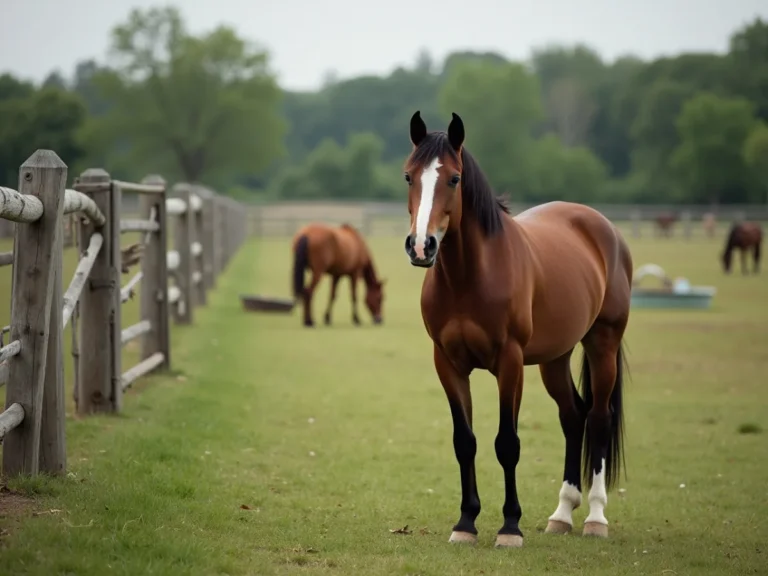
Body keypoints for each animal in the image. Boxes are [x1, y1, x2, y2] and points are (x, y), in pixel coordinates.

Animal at [402, 111, 633, 548]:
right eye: (409, 176)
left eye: (454, 178)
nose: (421, 246)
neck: (470, 276)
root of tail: (603, 227)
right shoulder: (448, 364)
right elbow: (465, 442)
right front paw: (466, 522)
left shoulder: (509, 363)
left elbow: (507, 443)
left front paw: (510, 527)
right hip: (555, 358)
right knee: (573, 416)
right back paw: (562, 514)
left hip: (603, 344)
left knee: (598, 418)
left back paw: (596, 518)